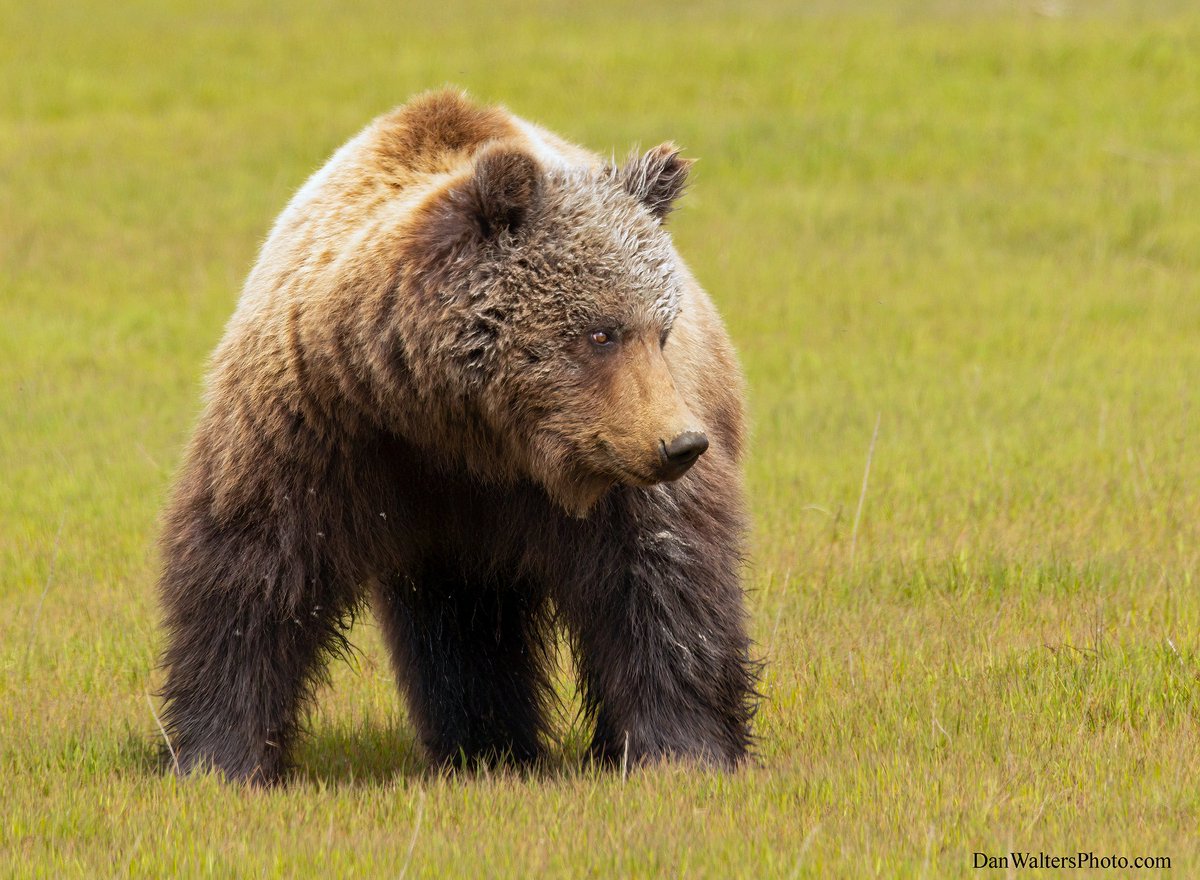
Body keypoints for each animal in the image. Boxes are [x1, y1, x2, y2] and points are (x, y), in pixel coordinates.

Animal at [157, 85, 758, 777]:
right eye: (601, 332)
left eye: (661, 330)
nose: (681, 444)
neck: (460, 426)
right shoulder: (320, 429)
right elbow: (252, 575)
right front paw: (218, 755)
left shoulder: (606, 470)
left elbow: (661, 584)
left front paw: (682, 750)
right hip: (444, 537)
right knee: (461, 626)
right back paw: (484, 747)